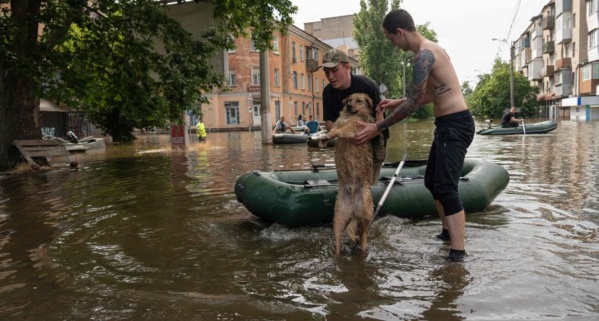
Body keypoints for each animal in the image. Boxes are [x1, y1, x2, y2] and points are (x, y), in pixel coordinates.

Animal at [318, 92, 376, 255]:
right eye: (349, 99)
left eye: (359, 100)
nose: (349, 105)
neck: (350, 115)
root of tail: (353, 209)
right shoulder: (338, 123)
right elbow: (333, 130)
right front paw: (324, 138)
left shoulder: (353, 127)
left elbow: (340, 131)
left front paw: (327, 137)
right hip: (338, 219)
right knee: (339, 237)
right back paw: (338, 251)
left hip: (367, 210)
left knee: (365, 232)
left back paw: (363, 245)